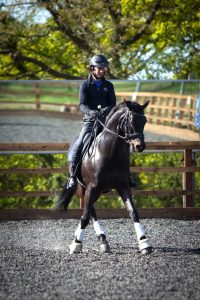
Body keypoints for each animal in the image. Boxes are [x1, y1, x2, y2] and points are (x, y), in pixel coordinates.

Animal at [57, 99, 152, 254]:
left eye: (144, 121)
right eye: (131, 120)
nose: (140, 146)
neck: (110, 153)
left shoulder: (123, 186)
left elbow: (133, 212)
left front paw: (144, 243)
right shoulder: (92, 187)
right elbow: (85, 216)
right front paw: (76, 244)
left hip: (97, 191)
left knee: (90, 210)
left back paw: (100, 239)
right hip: (83, 188)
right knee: (89, 211)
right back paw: (90, 238)